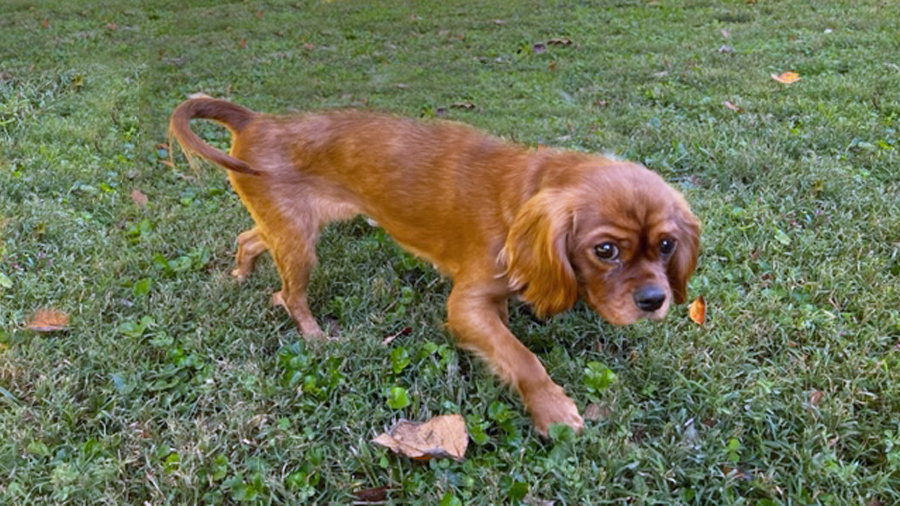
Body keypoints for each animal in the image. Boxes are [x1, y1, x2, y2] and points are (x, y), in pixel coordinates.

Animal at [171, 99, 704, 434]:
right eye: (605, 250)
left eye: (665, 245)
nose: (655, 301)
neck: (524, 197)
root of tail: (256, 120)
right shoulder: (466, 306)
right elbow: (523, 359)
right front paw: (553, 410)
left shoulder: (491, 302)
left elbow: (507, 341)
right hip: (300, 243)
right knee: (289, 295)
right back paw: (316, 335)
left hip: (289, 229)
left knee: (248, 239)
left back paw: (240, 274)